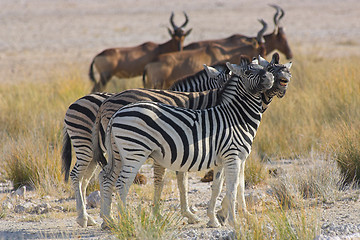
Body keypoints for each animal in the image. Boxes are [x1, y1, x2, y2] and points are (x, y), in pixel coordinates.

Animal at [59, 63, 228, 227]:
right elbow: (171, 182)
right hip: (87, 146)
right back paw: (89, 218)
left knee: (85, 179)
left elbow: (180, 182)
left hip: (97, 152)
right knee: (78, 175)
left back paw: (93, 218)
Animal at [101, 56, 276, 229]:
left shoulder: (225, 160)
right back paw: (125, 222)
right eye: (247, 72)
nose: (270, 77)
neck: (236, 116)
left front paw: (215, 219)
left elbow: (221, 187)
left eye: (264, 68)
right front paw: (235, 222)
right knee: (122, 184)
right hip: (134, 152)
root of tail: (117, 113)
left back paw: (109, 220)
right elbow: (233, 189)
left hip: (118, 153)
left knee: (107, 178)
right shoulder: (233, 157)